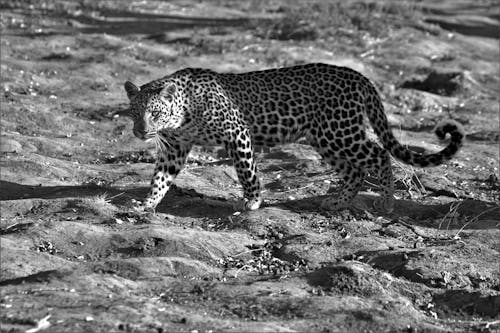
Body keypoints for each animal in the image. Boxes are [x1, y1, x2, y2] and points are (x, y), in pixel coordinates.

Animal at [124, 62, 464, 213]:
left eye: (155, 112)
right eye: (134, 111)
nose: (140, 131)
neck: (182, 114)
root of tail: (359, 76)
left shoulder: (238, 132)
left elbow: (247, 172)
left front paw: (252, 202)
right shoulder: (174, 148)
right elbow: (161, 178)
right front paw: (147, 203)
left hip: (339, 131)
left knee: (378, 155)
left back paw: (387, 202)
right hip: (325, 138)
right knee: (354, 170)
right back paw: (337, 201)